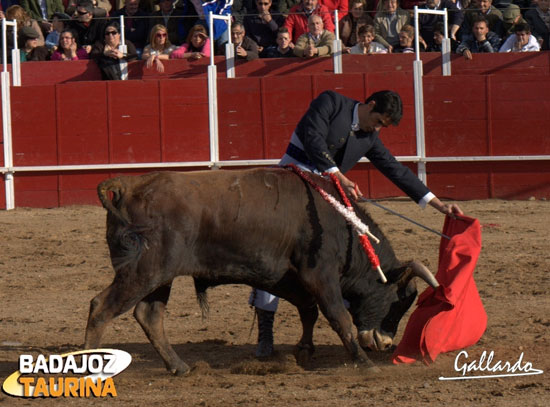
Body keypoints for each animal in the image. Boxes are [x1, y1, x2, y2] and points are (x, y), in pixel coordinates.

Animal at [85, 167, 440, 374]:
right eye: (399, 301)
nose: (385, 345)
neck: (341, 224)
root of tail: (129, 185)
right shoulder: (320, 274)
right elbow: (338, 316)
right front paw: (364, 364)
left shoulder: (290, 277)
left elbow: (309, 311)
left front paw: (304, 352)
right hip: (143, 271)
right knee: (101, 307)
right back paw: (91, 366)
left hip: (160, 277)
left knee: (149, 315)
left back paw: (179, 367)